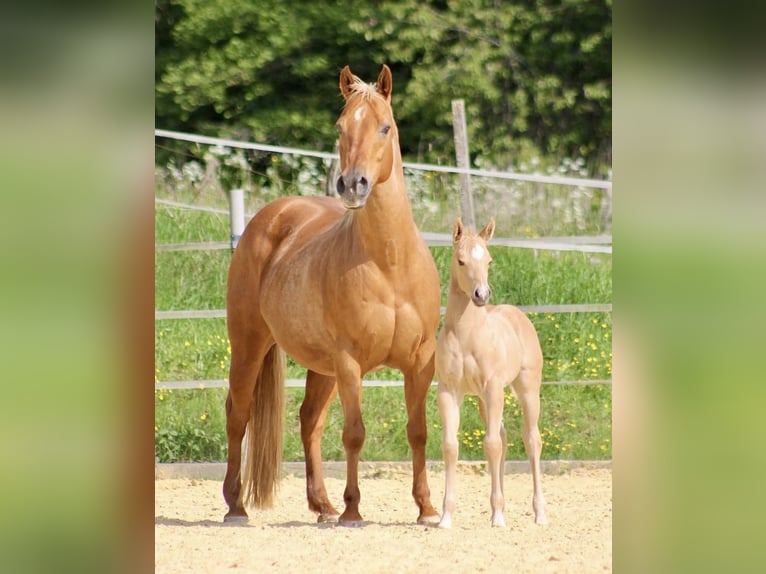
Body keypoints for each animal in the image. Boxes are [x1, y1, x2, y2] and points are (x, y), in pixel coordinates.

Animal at [222, 65, 442, 526]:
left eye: (385, 127)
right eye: (341, 128)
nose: (353, 184)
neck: (390, 263)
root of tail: (271, 216)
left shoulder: (420, 361)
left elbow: (418, 431)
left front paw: (427, 509)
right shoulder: (350, 361)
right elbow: (354, 433)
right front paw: (353, 510)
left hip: (320, 366)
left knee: (309, 422)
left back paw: (322, 505)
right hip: (249, 344)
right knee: (238, 414)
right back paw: (236, 506)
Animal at [435, 217, 547, 528]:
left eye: (489, 260)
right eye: (460, 261)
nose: (482, 295)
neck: (466, 336)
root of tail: (517, 314)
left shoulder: (493, 387)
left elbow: (491, 445)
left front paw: (497, 518)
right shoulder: (448, 391)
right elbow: (451, 446)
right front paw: (446, 517)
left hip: (526, 389)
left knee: (531, 440)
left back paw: (539, 513)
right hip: (483, 400)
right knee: (505, 438)